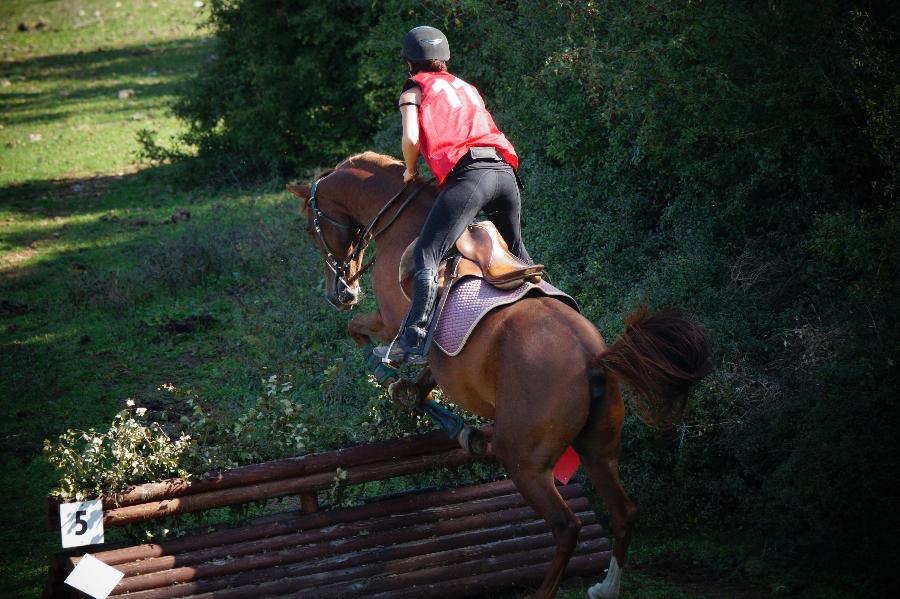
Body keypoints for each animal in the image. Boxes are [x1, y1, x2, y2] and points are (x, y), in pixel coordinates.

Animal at [288, 151, 712, 599]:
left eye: (311, 230)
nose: (341, 294)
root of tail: (593, 358)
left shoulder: (388, 320)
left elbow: (363, 336)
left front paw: (390, 377)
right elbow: (425, 382)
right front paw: (437, 412)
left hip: (524, 460)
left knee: (567, 526)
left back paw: (548, 590)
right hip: (599, 450)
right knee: (624, 511)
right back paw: (606, 587)